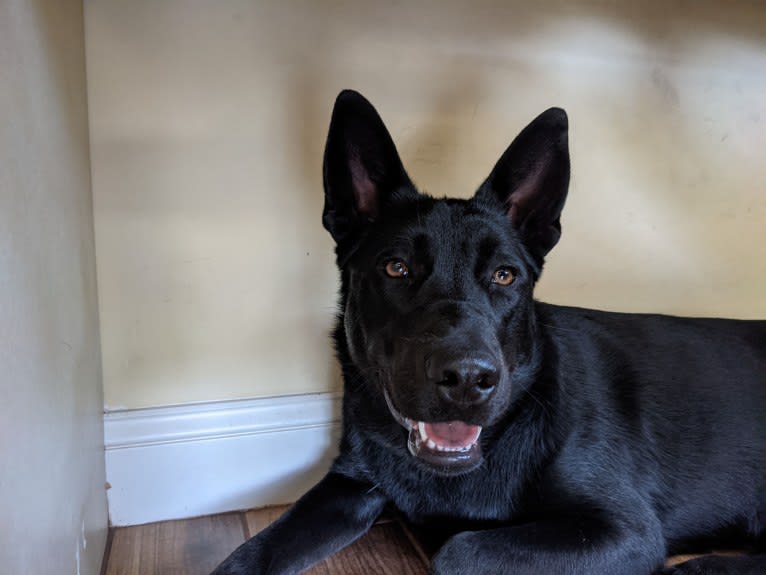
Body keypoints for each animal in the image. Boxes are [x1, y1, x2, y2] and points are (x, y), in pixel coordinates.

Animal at [214, 90, 766, 575]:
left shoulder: (622, 531)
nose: (466, 379)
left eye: (504, 276)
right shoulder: (348, 487)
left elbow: (456, 550)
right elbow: (252, 553)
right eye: (396, 267)